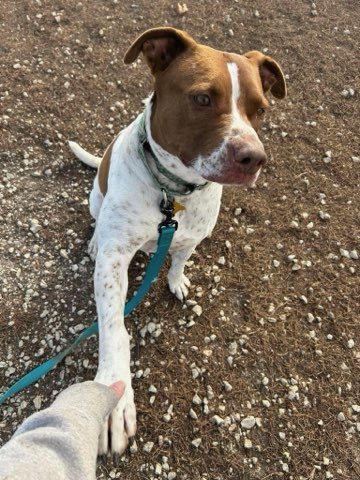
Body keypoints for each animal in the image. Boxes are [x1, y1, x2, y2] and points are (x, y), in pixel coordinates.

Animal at [69, 28, 286, 460]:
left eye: (260, 109)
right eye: (202, 98)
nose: (255, 158)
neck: (172, 193)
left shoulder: (191, 235)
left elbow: (180, 260)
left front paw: (176, 279)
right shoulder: (115, 260)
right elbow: (115, 329)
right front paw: (115, 398)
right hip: (95, 199)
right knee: (97, 223)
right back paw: (93, 241)